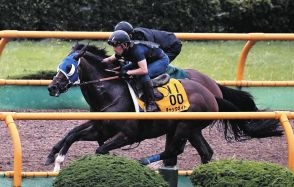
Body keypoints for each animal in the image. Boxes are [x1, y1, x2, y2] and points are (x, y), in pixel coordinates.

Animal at [44, 43, 282, 171]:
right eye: (58, 66)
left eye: (68, 67)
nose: (52, 86)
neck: (111, 93)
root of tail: (212, 94)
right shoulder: (100, 128)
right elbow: (71, 134)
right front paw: (55, 159)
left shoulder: (126, 135)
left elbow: (99, 149)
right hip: (191, 129)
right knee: (205, 152)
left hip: (185, 127)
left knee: (176, 149)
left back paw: (147, 161)